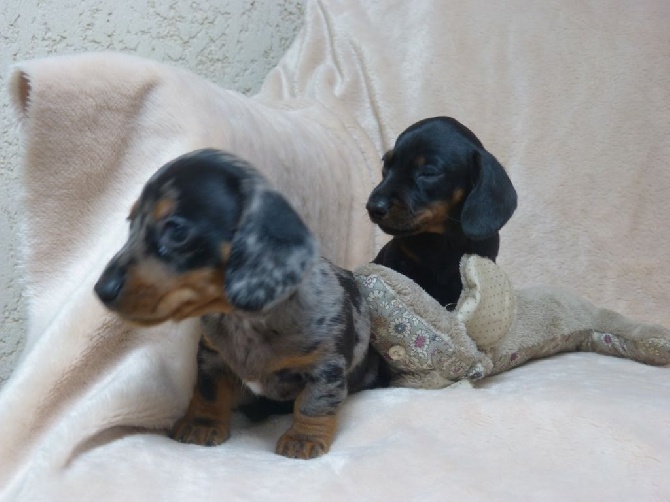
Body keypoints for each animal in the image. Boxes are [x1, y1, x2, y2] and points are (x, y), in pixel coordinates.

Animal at [94, 149, 384, 458]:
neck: (243, 320)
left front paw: (303, 439)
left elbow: (313, 404)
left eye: (177, 229)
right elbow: (209, 392)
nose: (102, 290)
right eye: (131, 223)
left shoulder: (325, 367)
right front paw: (202, 423)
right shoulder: (211, 357)